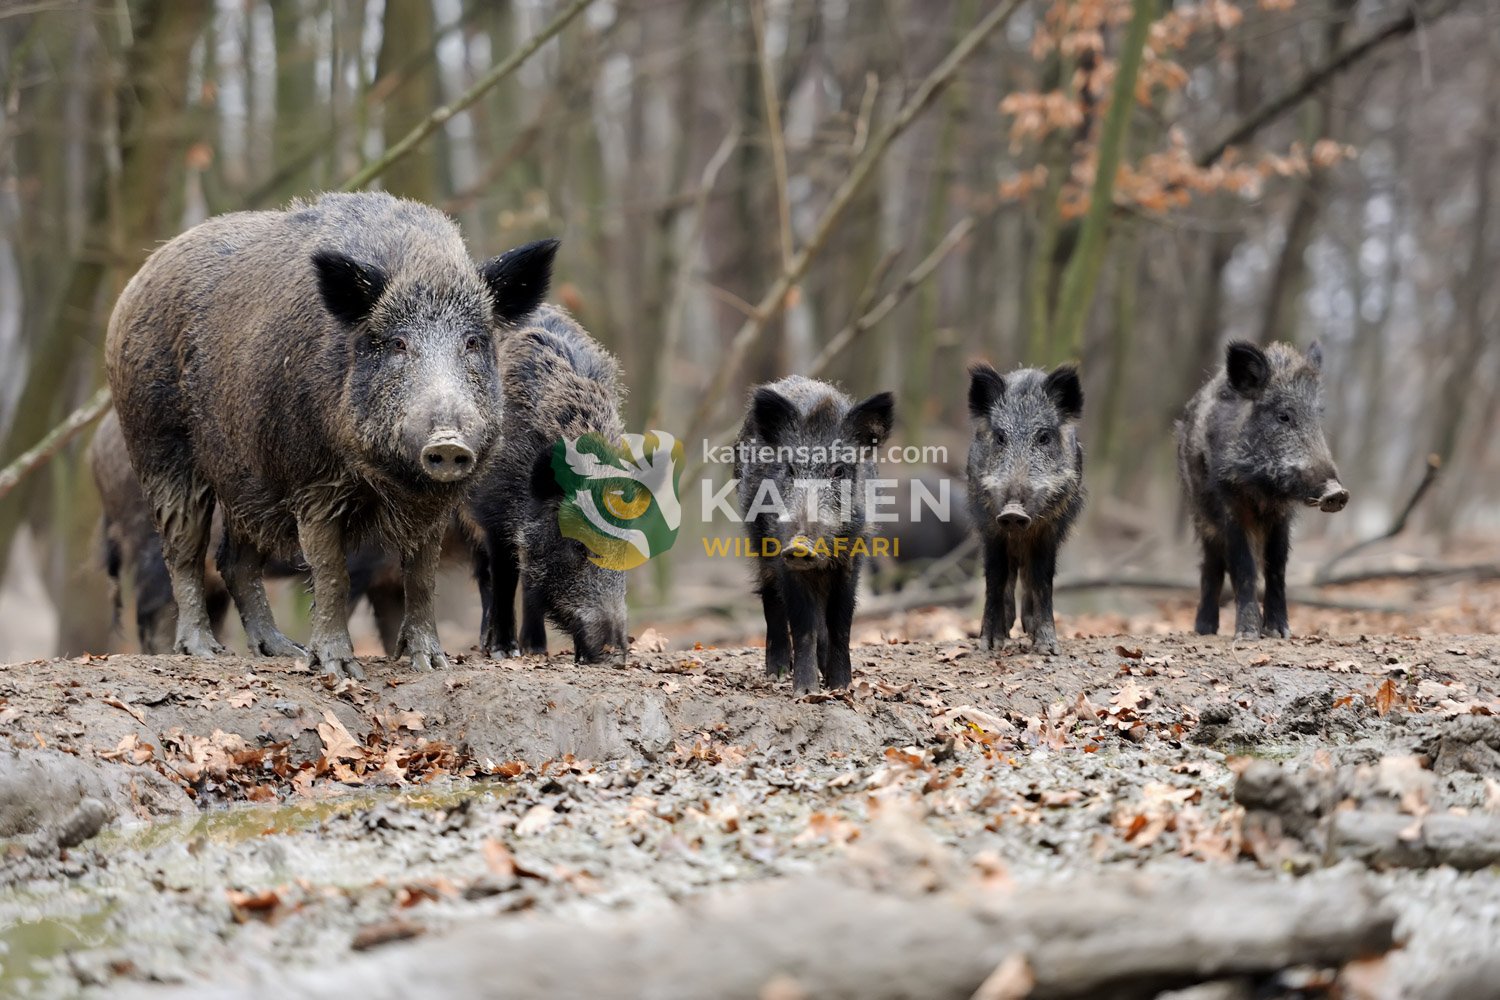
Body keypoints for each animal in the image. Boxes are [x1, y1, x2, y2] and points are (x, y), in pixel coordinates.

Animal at [104, 191, 556, 678]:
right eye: (397, 344)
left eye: (473, 342)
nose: (448, 442)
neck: (389, 478)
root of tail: (138, 280)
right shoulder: (312, 483)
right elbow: (330, 571)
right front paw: (339, 668)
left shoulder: (434, 503)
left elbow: (421, 575)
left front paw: (431, 664)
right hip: (159, 447)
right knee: (183, 549)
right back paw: (204, 649)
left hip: (246, 477)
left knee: (235, 560)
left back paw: (281, 650)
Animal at [465, 305, 629, 663]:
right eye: (579, 546)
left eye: (625, 550)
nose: (616, 653)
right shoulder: (494, 514)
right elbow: (505, 578)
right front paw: (504, 651)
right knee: (486, 574)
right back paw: (489, 644)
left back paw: (536, 648)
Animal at [734, 376, 895, 693]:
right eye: (791, 468)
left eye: (839, 471)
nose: (800, 544)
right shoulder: (781, 553)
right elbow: (802, 622)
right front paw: (806, 691)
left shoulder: (852, 556)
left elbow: (841, 621)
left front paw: (841, 687)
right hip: (758, 539)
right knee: (771, 597)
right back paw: (777, 674)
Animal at [966, 363, 1085, 655]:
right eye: (1000, 437)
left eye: (1043, 437)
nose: (1013, 512)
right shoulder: (989, 524)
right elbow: (996, 576)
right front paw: (989, 644)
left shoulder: (1050, 528)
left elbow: (1042, 578)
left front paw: (1048, 647)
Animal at [1177, 340, 1349, 639]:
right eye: (1284, 416)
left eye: (1318, 416)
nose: (1336, 492)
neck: (1263, 490)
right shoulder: (1230, 503)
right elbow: (1243, 565)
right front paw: (1247, 635)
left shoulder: (1282, 514)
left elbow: (1276, 565)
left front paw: (1280, 632)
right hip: (1201, 514)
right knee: (1212, 563)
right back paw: (1205, 629)